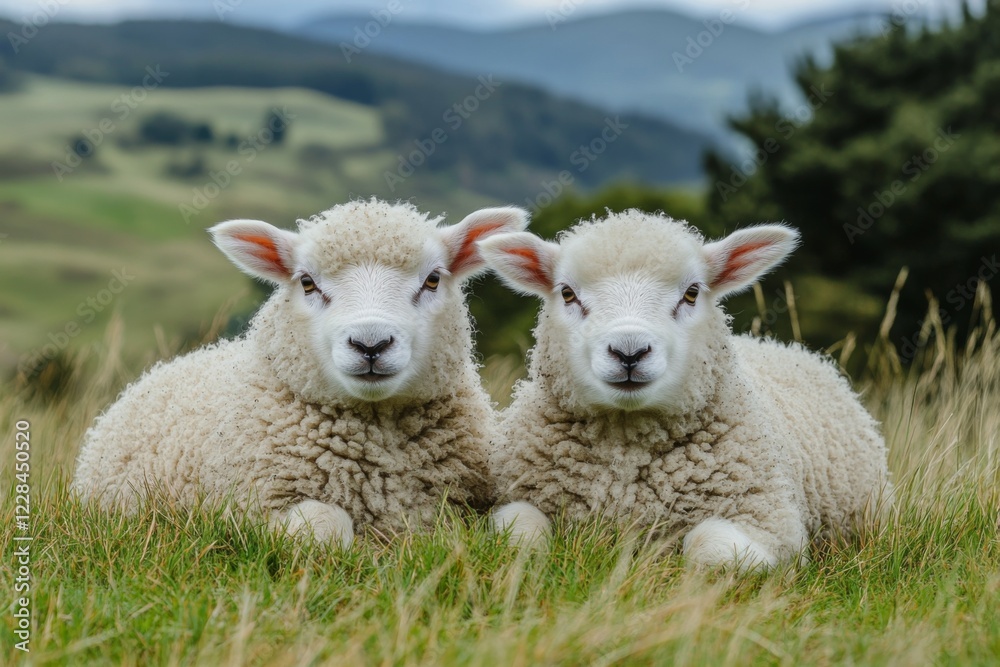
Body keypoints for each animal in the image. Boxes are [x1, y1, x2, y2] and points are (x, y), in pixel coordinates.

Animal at [477, 210, 890, 571]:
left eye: (692, 293)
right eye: (566, 293)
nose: (630, 352)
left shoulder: (774, 524)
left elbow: (706, 544)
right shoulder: (521, 497)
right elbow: (518, 533)